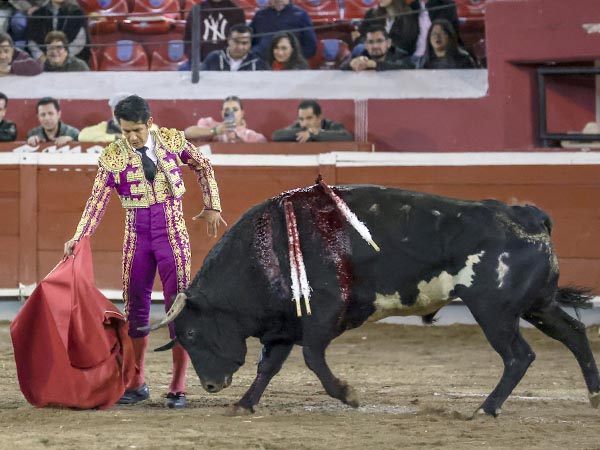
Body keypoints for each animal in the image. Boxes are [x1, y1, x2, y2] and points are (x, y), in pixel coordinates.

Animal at [146, 183, 600, 414]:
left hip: (495, 312)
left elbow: (312, 359)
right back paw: (594, 395)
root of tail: (529, 216)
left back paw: (486, 408)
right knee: (575, 334)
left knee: (520, 356)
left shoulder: (321, 316)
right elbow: (268, 367)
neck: (267, 250)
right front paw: (244, 404)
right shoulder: (285, 325)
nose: (210, 385)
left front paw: (349, 394)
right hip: (538, 306)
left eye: (193, 334)